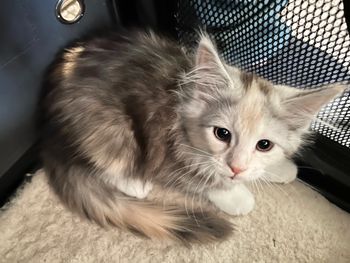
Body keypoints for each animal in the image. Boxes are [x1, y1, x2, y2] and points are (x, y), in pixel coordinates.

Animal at [40, 30, 344, 245]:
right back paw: (134, 183)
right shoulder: (165, 152)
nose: (236, 168)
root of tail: (48, 127)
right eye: (222, 134)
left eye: (264, 145)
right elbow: (199, 178)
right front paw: (235, 195)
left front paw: (278, 168)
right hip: (112, 129)